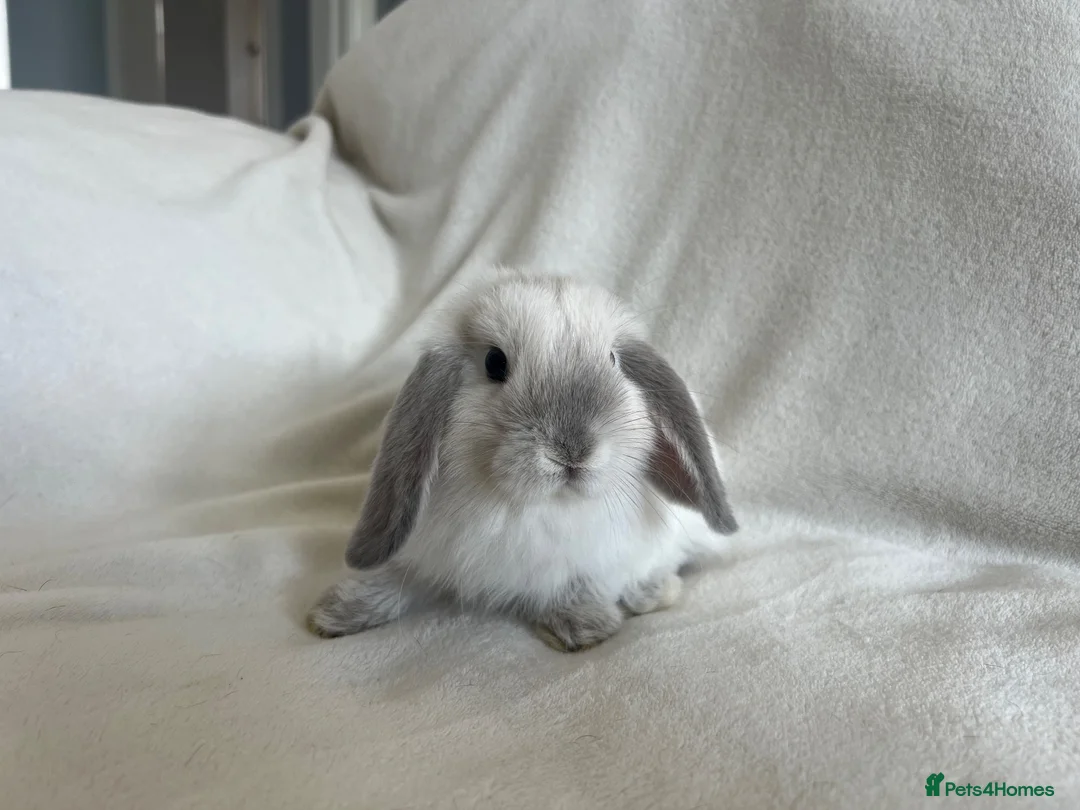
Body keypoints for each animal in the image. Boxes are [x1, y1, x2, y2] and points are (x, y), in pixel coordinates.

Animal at [307, 271, 738, 652]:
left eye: (614, 360)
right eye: (494, 363)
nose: (572, 451)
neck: (521, 506)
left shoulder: (591, 558)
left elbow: (580, 581)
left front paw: (583, 626)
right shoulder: (423, 547)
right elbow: (396, 577)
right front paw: (335, 612)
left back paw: (653, 591)